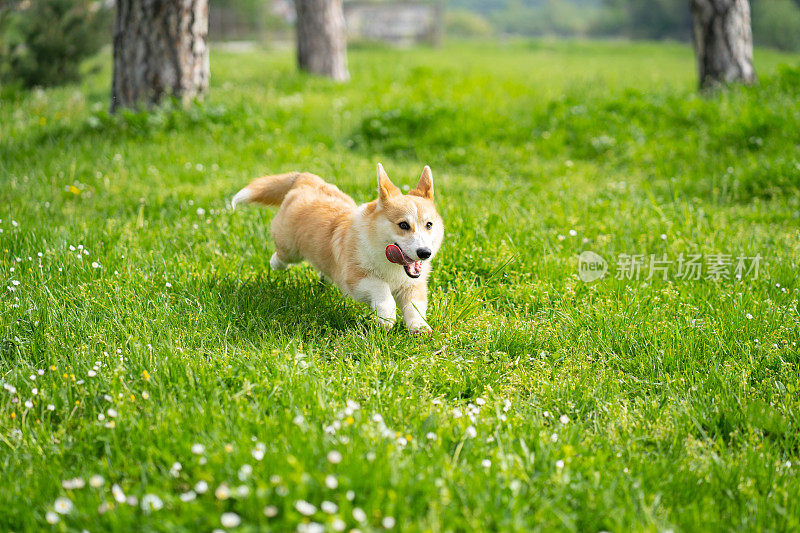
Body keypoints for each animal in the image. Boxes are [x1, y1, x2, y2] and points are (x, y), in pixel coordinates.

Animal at [231, 162, 444, 330]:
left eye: (429, 225)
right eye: (403, 225)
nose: (424, 253)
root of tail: (308, 180)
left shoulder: (413, 284)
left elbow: (415, 306)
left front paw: (419, 328)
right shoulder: (355, 278)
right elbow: (381, 288)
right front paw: (386, 317)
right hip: (290, 248)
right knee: (281, 256)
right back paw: (275, 263)